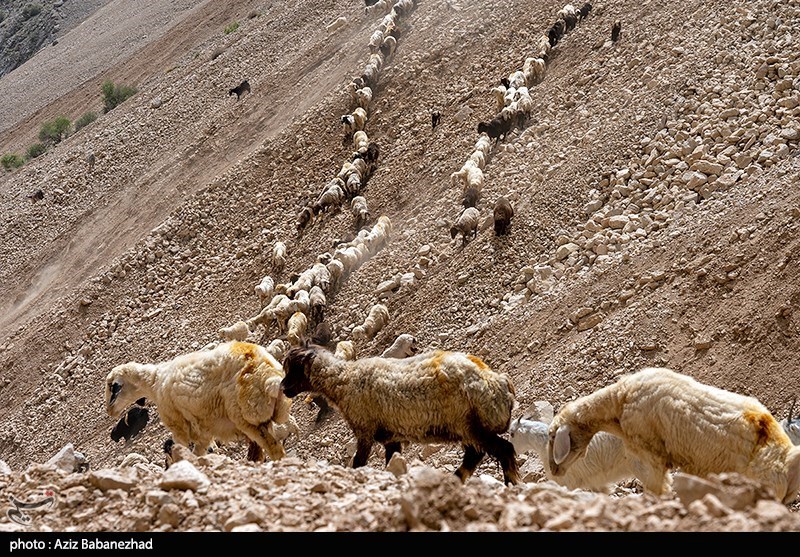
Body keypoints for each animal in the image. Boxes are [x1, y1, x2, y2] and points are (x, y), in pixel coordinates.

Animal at [103, 344, 296, 460]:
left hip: (247, 418)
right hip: (261, 418)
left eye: (113, 387)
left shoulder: (178, 425)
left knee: (274, 449)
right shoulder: (203, 431)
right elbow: (199, 451)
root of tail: (268, 377)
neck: (154, 380)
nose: (109, 411)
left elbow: (184, 450)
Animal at [280, 346, 520, 484]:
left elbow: (358, 462)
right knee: (474, 456)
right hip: (468, 429)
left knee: (503, 450)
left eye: (293, 369)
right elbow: (391, 464)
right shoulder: (391, 438)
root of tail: (498, 383)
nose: (283, 388)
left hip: (470, 425)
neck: (344, 380)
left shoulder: (365, 430)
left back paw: (511, 484)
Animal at [548, 368, 800, 502]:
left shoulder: (649, 453)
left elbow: (657, 488)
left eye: (552, 437)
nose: (554, 471)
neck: (618, 402)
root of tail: (788, 466)